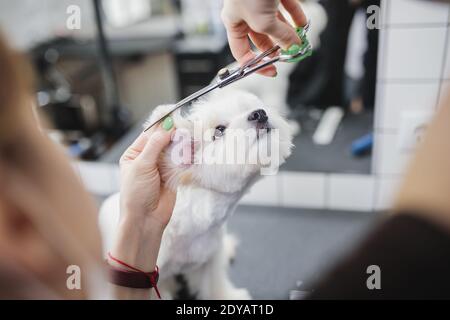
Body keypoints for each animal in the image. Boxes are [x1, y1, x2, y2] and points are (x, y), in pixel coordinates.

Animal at [100, 89, 294, 298]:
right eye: (219, 130)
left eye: (254, 106)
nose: (259, 113)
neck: (196, 227)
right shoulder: (155, 277)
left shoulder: (210, 260)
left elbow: (215, 285)